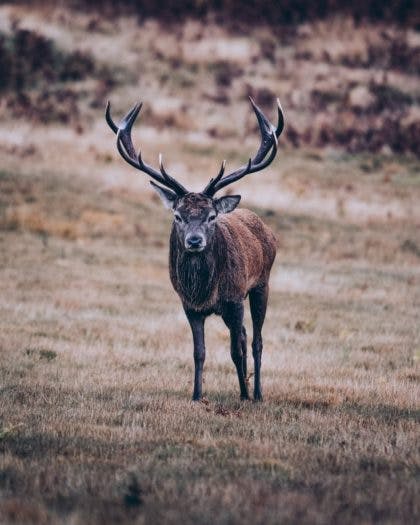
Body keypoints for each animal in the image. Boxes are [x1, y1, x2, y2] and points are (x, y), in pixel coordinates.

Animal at [105, 97, 284, 402]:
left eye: (211, 216)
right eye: (178, 215)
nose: (194, 241)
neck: (204, 290)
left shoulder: (234, 298)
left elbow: (236, 350)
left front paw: (244, 395)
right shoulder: (190, 306)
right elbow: (199, 352)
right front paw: (197, 395)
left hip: (261, 284)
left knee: (256, 340)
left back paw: (257, 393)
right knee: (244, 335)